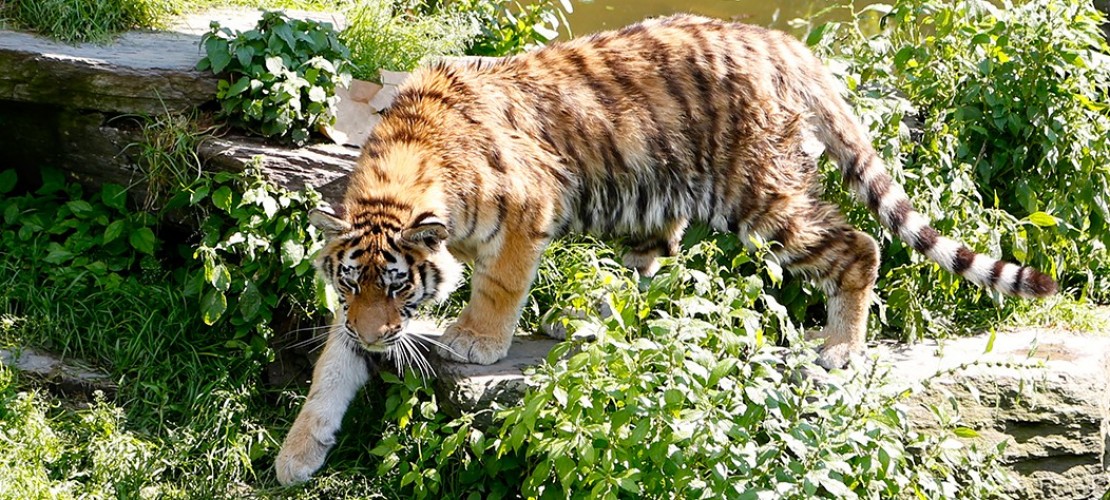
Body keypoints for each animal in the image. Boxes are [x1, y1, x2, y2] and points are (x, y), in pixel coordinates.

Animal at [274, 14, 1057, 485]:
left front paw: (475, 341)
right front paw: (297, 454)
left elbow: (499, 286)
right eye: (353, 285)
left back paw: (840, 348)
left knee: (859, 243)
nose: (377, 337)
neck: (401, 173)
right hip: (649, 205)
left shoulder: (529, 210)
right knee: (656, 266)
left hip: (760, 197)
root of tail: (779, 41)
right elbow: (329, 371)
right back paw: (588, 321)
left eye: (400, 286)